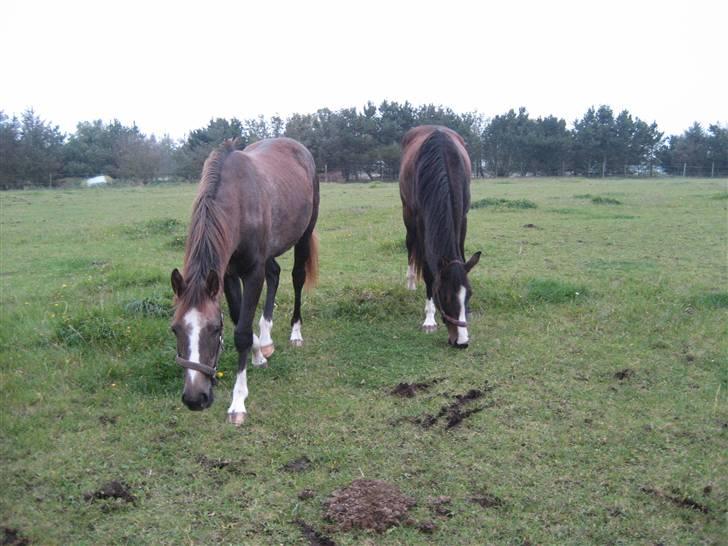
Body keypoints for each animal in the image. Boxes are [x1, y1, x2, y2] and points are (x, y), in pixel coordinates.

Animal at [172, 134, 320, 422]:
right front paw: (259, 352)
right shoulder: (227, 274)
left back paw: (296, 332)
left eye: (214, 329)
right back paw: (267, 338)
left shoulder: (252, 271)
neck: (238, 203)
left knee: (296, 277)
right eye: (175, 329)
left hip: (304, 233)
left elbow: (240, 332)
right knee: (274, 274)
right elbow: (239, 315)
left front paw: (238, 401)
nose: (195, 399)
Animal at [398, 125, 484, 346]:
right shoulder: (421, 220)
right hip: (407, 215)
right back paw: (411, 280)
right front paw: (429, 319)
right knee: (410, 246)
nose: (462, 341)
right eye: (443, 296)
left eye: (469, 294)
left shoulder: (462, 217)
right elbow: (429, 271)